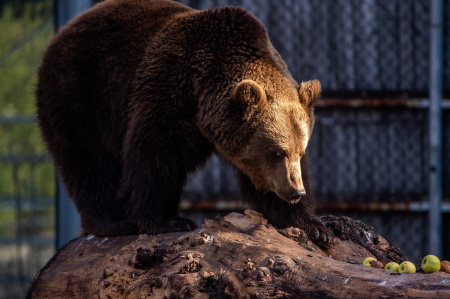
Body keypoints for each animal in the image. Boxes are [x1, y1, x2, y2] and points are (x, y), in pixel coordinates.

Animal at [37, 0, 330, 246]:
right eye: (277, 152)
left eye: (299, 151)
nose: (295, 191)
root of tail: (66, 28)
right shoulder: (168, 90)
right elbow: (155, 155)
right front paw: (168, 220)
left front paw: (313, 226)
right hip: (81, 92)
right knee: (87, 159)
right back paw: (113, 221)